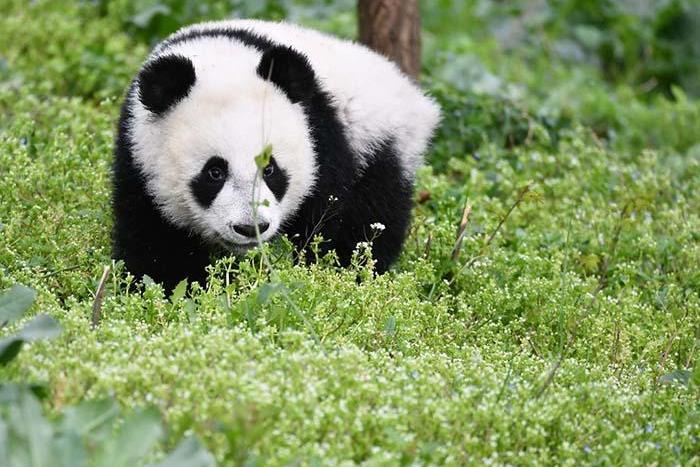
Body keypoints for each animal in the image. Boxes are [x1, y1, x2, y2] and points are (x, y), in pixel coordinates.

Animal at [115, 20, 442, 290]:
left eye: (270, 169)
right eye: (214, 172)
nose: (251, 228)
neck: (217, 59)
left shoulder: (322, 138)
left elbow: (324, 224)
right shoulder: (138, 154)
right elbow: (154, 240)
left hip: (379, 143)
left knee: (372, 217)